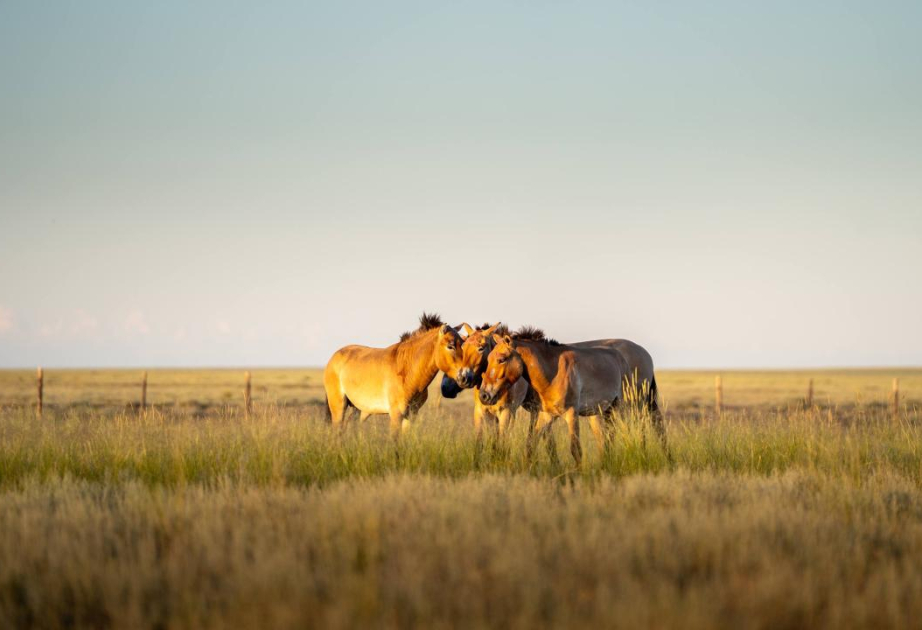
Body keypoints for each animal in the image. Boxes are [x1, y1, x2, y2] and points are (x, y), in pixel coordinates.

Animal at [323, 313, 467, 438]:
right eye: (450, 346)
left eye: (463, 345)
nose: (465, 377)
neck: (408, 372)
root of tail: (334, 357)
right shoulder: (396, 414)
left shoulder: (411, 414)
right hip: (339, 406)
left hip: (358, 408)